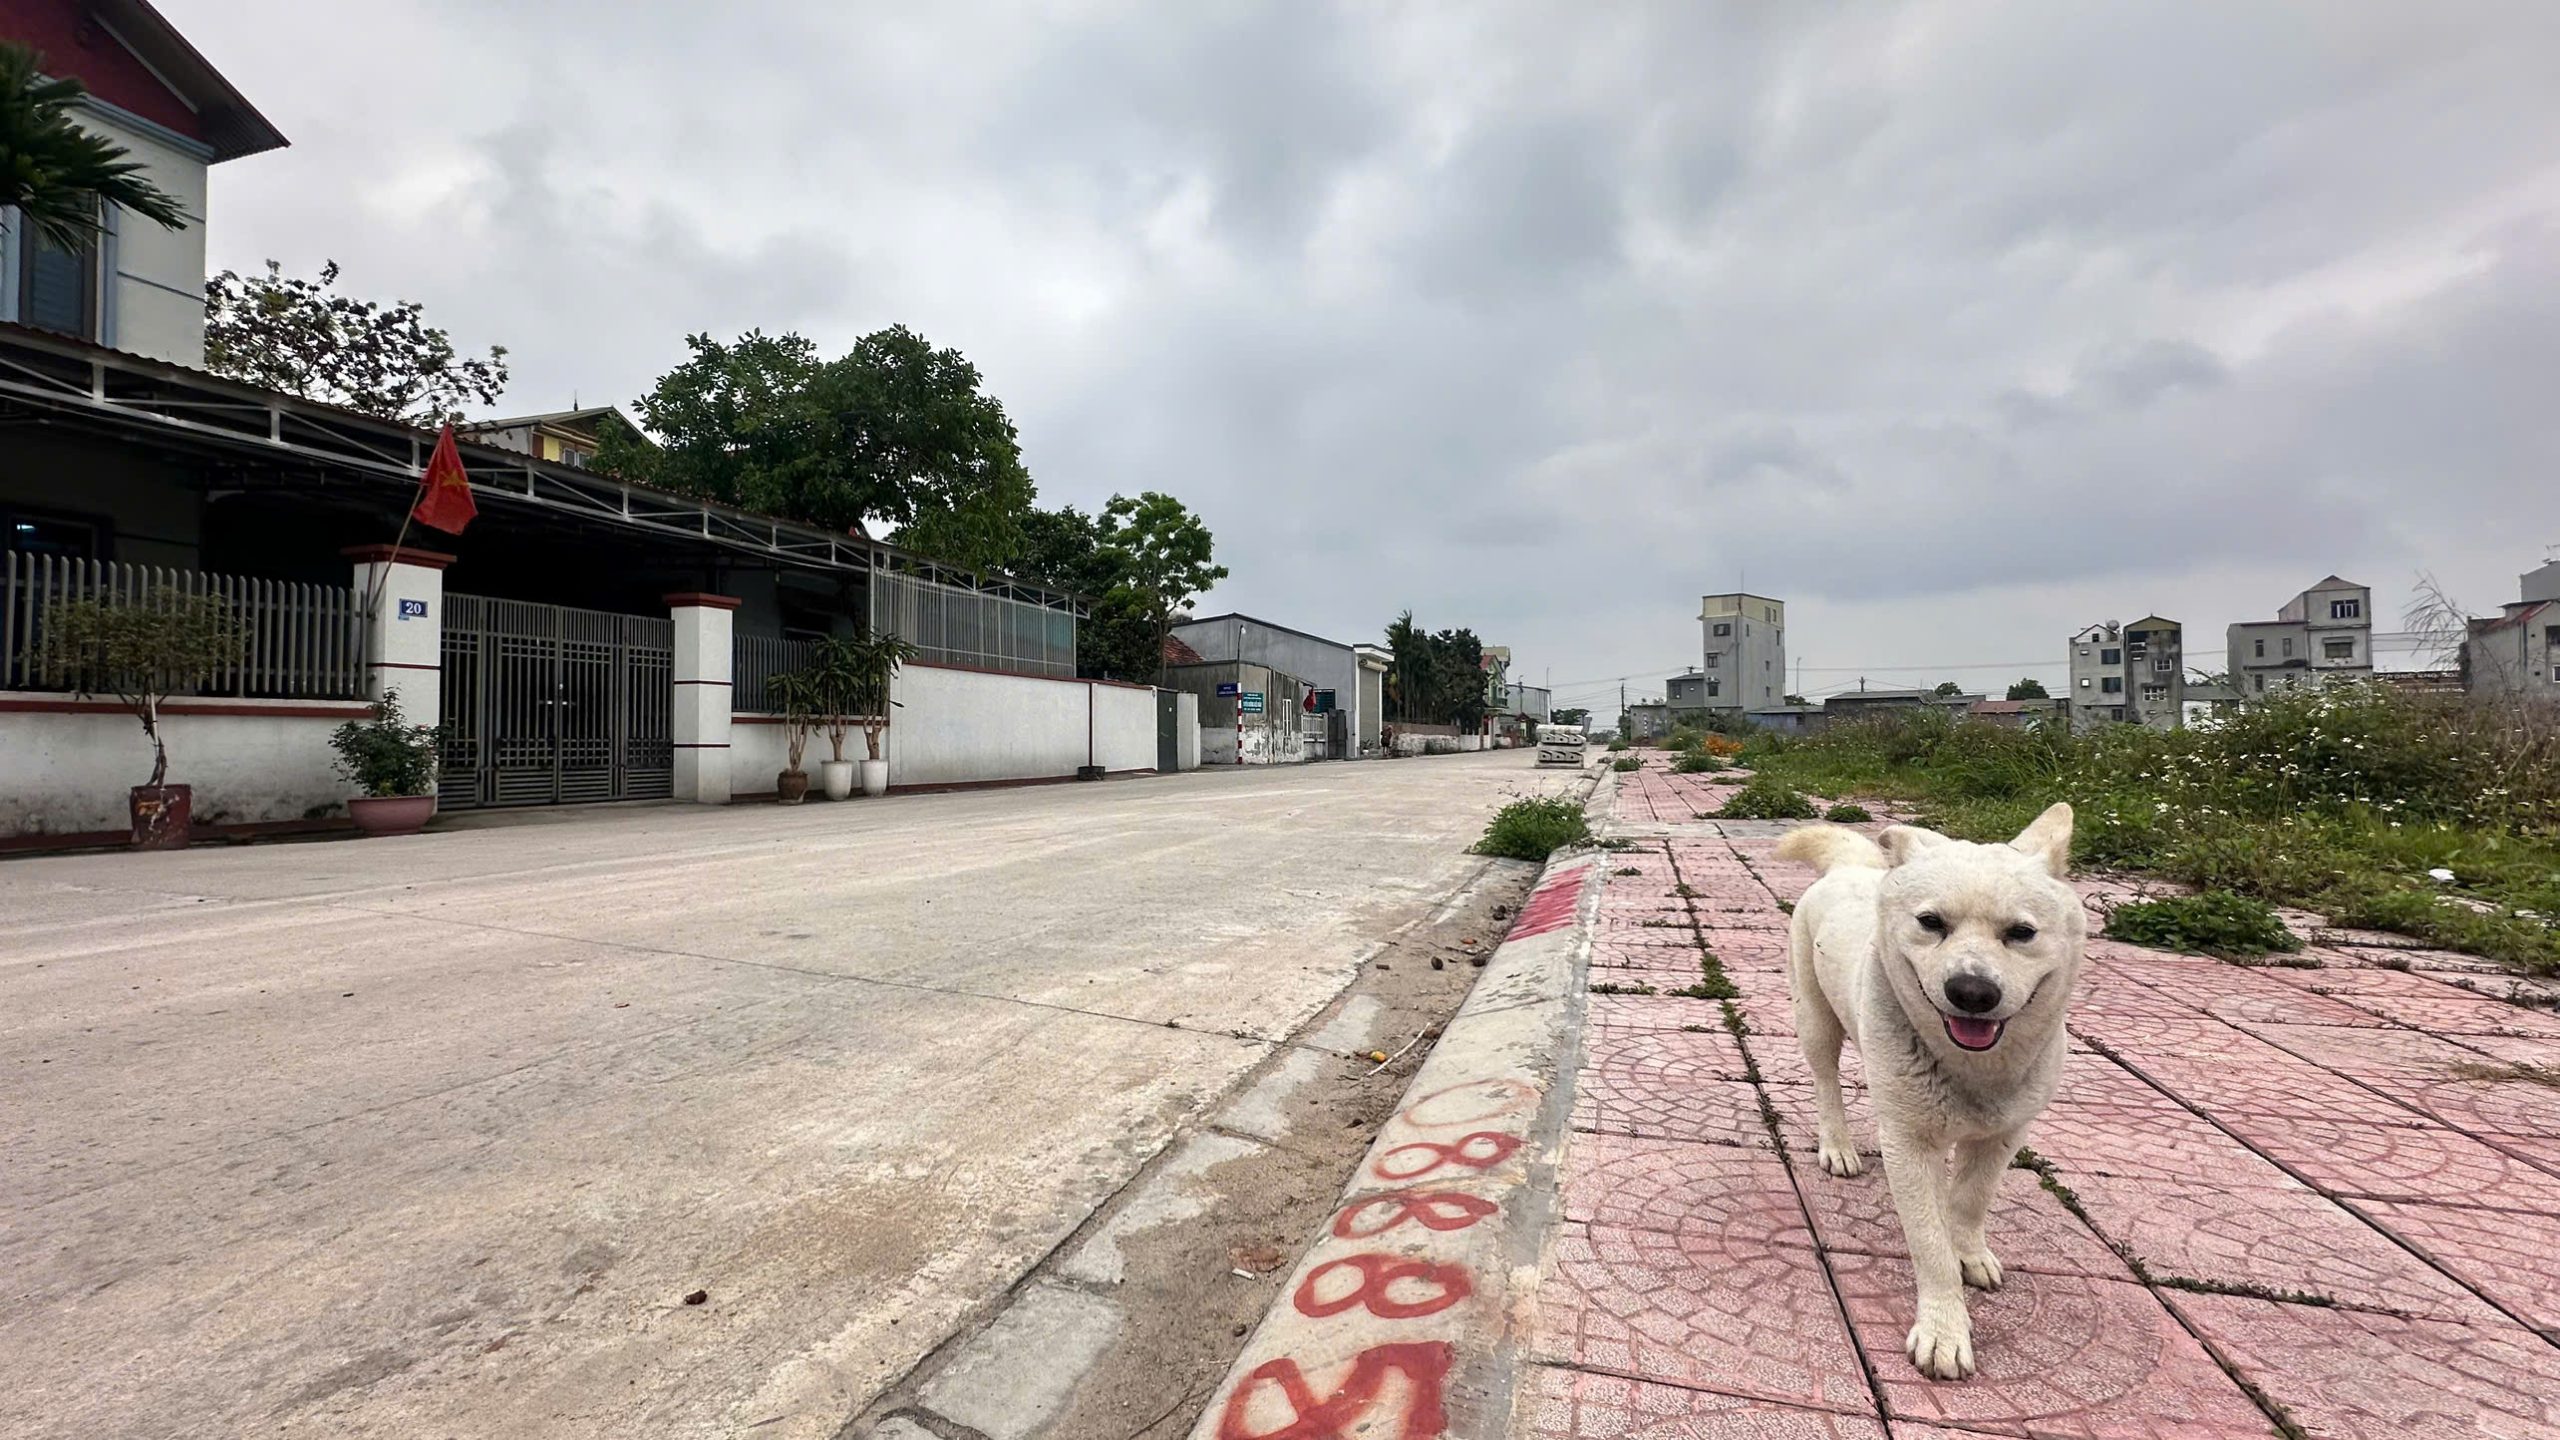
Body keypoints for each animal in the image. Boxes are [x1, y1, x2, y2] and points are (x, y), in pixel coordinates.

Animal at [1771, 804, 2084, 1380]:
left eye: (2022, 932)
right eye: (1931, 922)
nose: (1973, 992)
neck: (1972, 1067)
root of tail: (1852, 866)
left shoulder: (2006, 1133)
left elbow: (1970, 1201)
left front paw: (1970, 1252)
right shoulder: (1907, 1141)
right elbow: (1928, 1239)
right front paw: (1944, 1330)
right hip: (1814, 1015)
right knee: (1826, 1079)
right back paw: (1838, 1146)